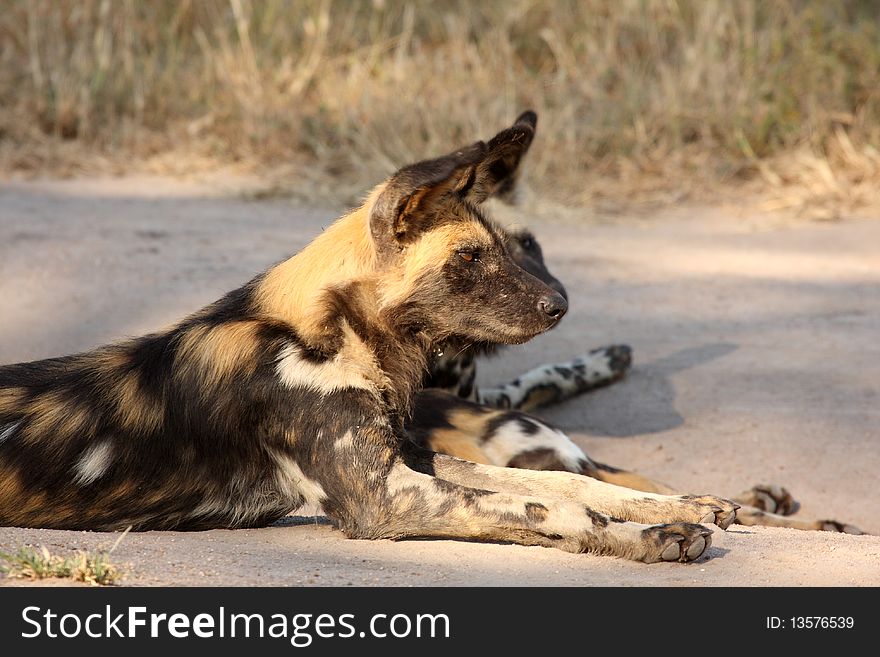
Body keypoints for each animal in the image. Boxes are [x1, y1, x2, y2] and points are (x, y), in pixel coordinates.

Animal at [0, 114, 740, 564]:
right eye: (471, 256)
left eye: (517, 246)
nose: (559, 304)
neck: (338, 333)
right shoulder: (389, 497)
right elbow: (548, 505)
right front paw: (653, 536)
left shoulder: (415, 459)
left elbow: (568, 484)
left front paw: (683, 504)